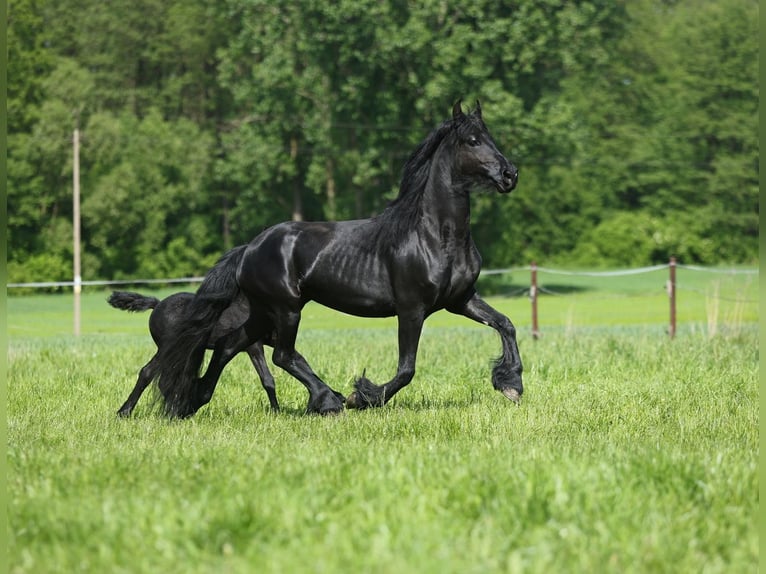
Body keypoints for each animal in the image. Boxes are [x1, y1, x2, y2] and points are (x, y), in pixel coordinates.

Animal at [106, 286, 278, 416]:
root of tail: (158, 304)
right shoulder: (253, 346)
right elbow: (267, 378)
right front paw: (276, 411)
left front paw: (276, 411)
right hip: (169, 349)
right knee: (149, 373)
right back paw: (129, 412)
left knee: (161, 379)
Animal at [154, 102, 524, 418]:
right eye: (472, 141)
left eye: (491, 137)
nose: (510, 175)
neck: (435, 236)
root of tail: (249, 248)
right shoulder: (411, 309)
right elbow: (407, 369)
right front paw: (362, 397)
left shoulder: (460, 300)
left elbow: (505, 323)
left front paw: (512, 384)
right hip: (286, 309)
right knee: (282, 355)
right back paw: (329, 400)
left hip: (263, 311)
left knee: (228, 346)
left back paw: (192, 401)